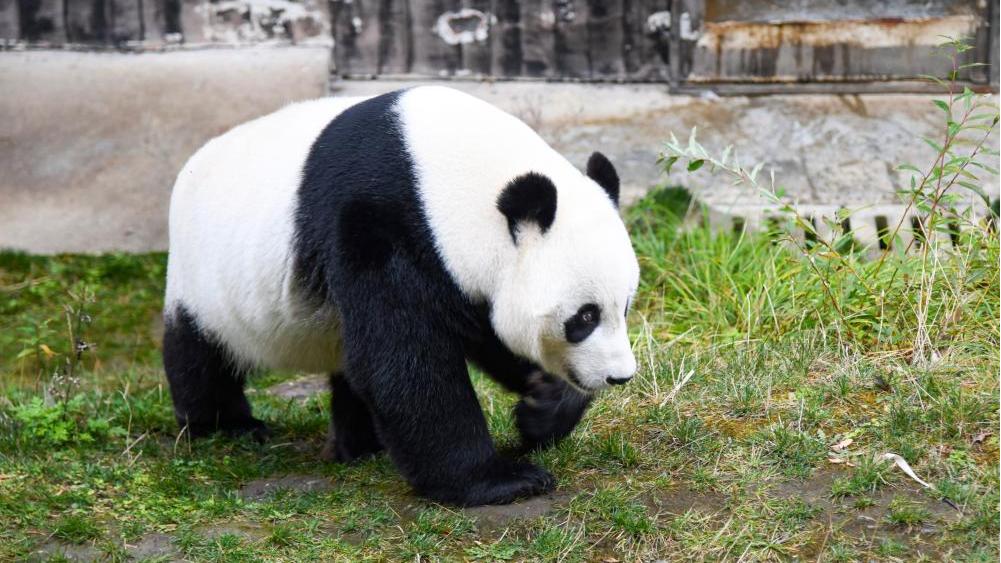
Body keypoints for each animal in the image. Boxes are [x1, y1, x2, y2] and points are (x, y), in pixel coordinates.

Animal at [163, 86, 640, 506]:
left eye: (625, 306)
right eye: (584, 317)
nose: (619, 376)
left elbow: (485, 335)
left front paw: (542, 408)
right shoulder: (378, 223)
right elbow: (404, 359)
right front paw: (500, 480)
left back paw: (359, 444)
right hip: (205, 278)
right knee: (200, 353)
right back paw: (226, 426)